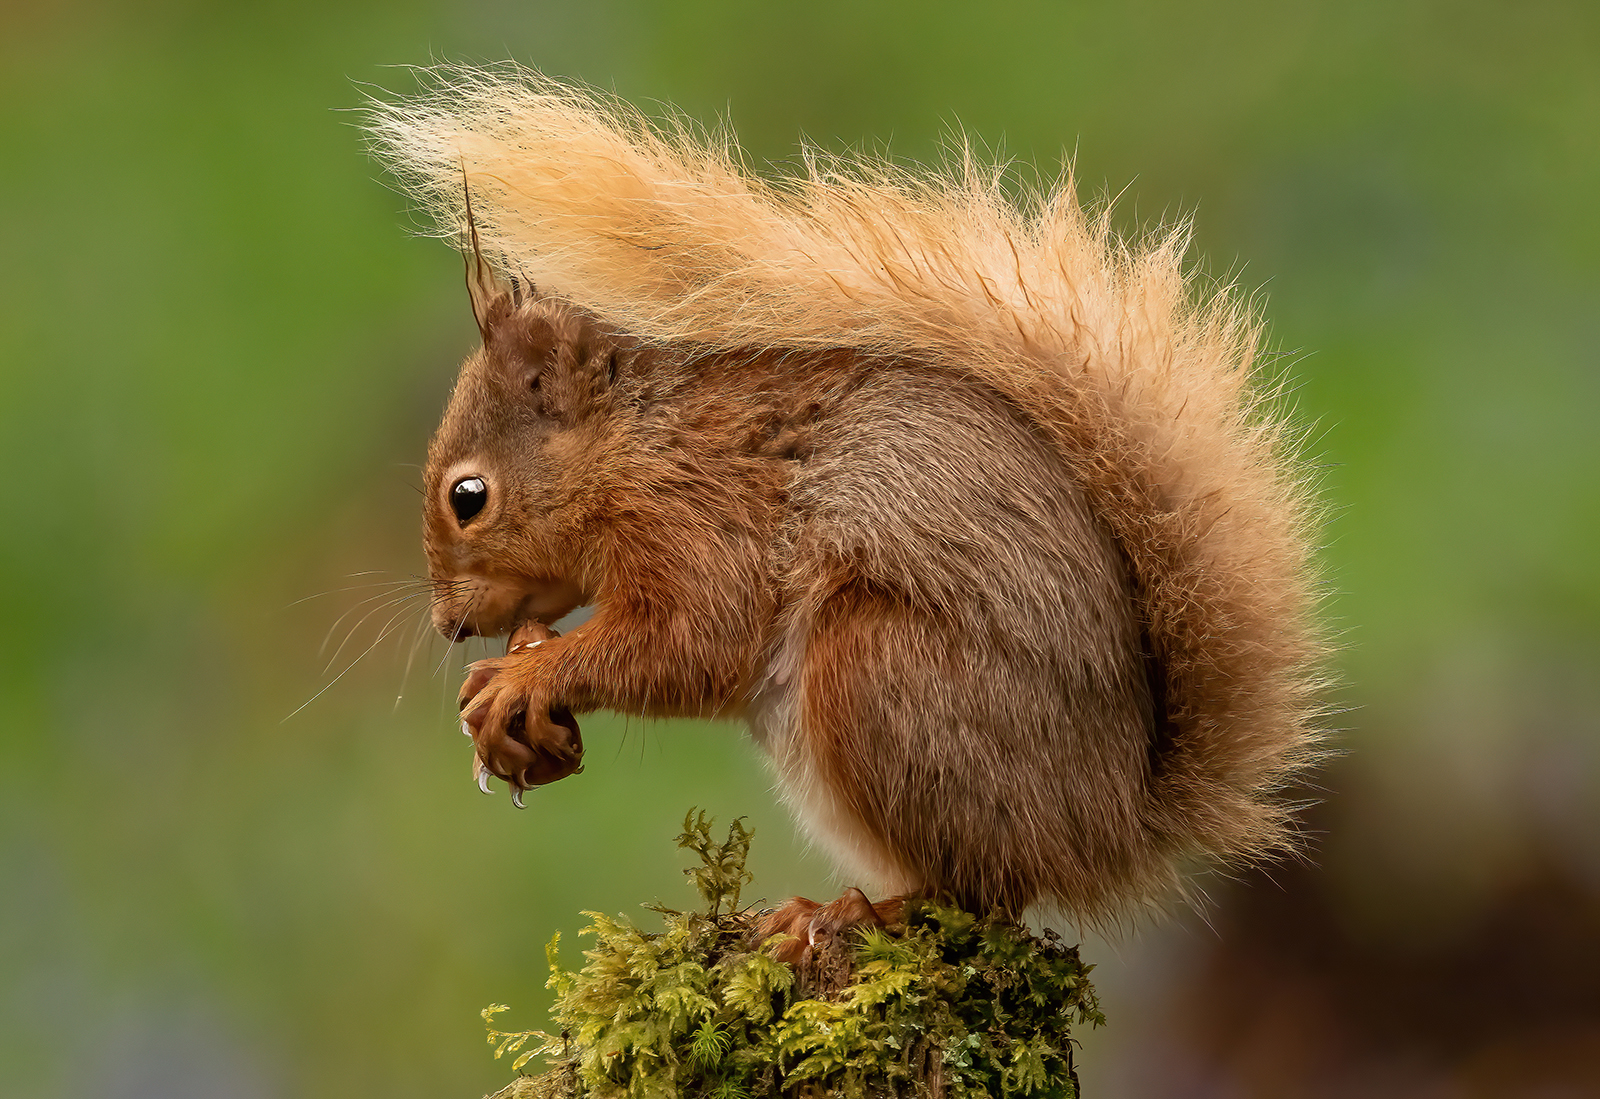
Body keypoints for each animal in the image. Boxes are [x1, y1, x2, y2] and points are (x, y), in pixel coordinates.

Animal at [367, 67, 1325, 934]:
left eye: (467, 496)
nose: (450, 627)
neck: (633, 446)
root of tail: (1113, 827)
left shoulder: (695, 519)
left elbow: (691, 640)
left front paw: (524, 672)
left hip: (878, 672)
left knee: (982, 892)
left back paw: (849, 912)